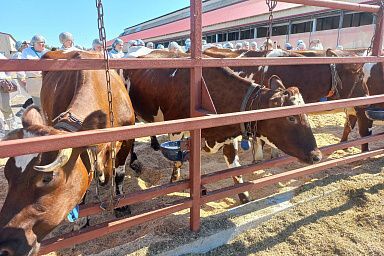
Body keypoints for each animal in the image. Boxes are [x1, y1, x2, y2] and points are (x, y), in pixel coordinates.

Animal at [0, 51, 137, 255]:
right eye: (7, 174)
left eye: (47, 177)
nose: (4, 247)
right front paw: (80, 220)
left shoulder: (127, 139)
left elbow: (119, 173)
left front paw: (121, 206)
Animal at [124, 50, 322, 204]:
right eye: (291, 117)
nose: (317, 155)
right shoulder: (177, 131)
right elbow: (179, 160)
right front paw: (176, 182)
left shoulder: (228, 134)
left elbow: (235, 169)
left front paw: (244, 197)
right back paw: (135, 161)